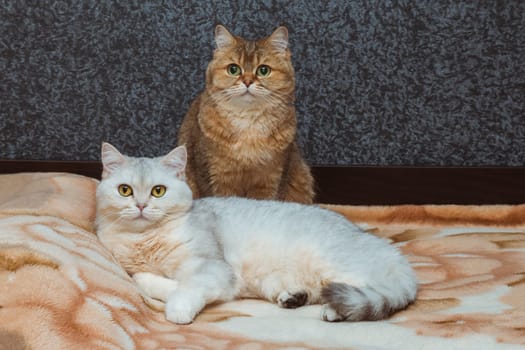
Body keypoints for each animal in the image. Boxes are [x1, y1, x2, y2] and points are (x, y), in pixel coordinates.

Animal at [95, 143, 418, 326]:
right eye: (125, 190)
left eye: (158, 191)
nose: (140, 205)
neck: (146, 240)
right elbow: (147, 280)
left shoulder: (214, 269)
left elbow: (187, 287)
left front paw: (179, 309)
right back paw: (295, 297)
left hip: (336, 266)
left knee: (367, 292)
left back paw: (334, 310)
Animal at [178, 24, 314, 204]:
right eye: (233, 69)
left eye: (263, 70)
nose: (248, 82)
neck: (248, 122)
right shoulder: (213, 174)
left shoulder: (271, 177)